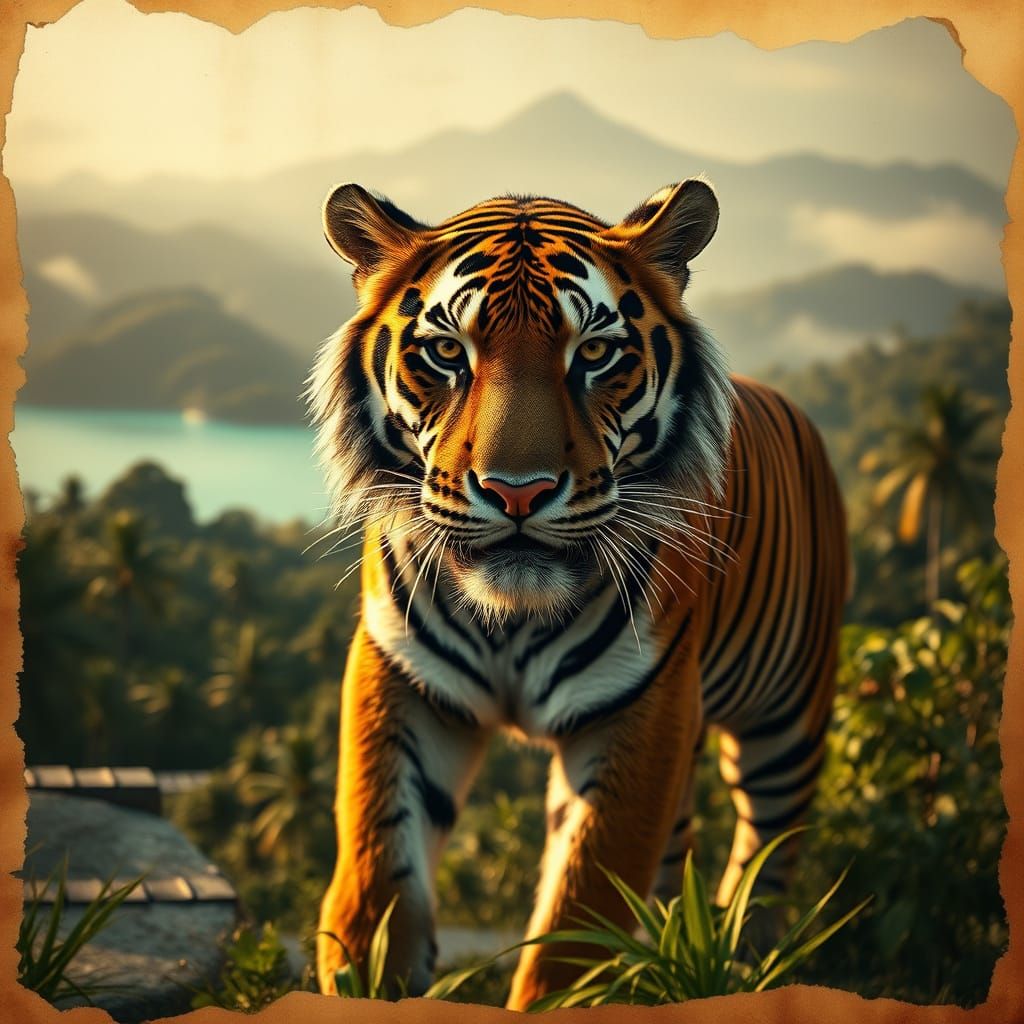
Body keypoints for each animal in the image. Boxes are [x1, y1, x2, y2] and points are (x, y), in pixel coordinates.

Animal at [309, 178, 848, 1010]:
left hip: (787, 724)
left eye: (593, 353)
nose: (516, 491)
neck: (508, 617)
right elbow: (378, 860)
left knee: (768, 859)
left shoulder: (639, 706)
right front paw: (366, 977)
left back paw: (745, 967)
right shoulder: (405, 678)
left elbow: (579, 913)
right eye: (447, 352)